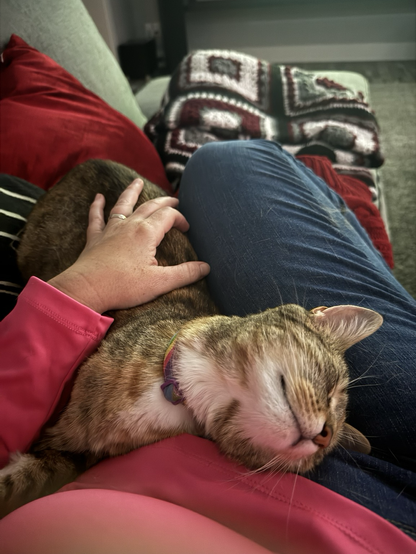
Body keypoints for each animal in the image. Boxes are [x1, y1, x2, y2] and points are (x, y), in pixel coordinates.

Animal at [0, 158, 384, 512]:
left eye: (328, 449)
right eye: (332, 388)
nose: (324, 435)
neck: (185, 390)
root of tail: (91, 162)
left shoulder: (73, 455)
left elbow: (25, 477)